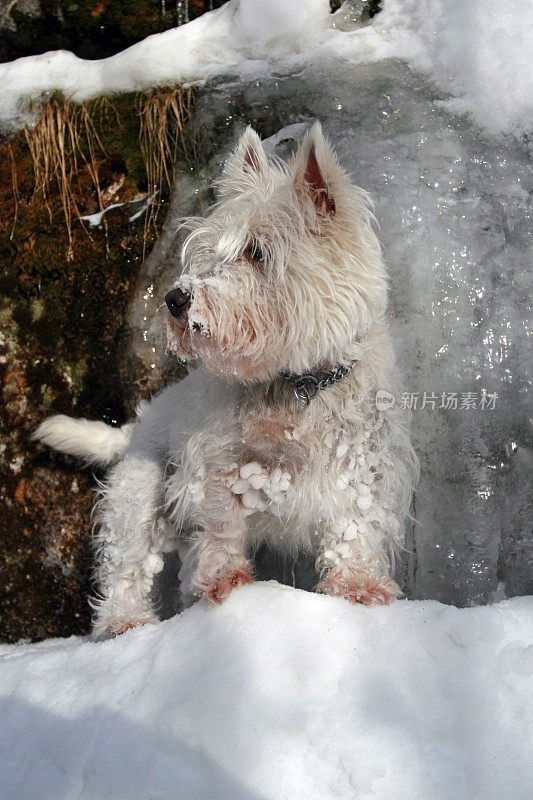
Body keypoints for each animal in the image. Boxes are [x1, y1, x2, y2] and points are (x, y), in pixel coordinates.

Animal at [34, 123, 420, 636]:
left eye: (256, 251)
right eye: (205, 252)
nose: (176, 299)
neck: (296, 386)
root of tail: (136, 426)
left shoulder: (365, 467)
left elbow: (354, 529)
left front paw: (358, 589)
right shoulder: (216, 468)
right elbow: (220, 528)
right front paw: (225, 585)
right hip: (139, 497)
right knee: (126, 567)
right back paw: (126, 625)